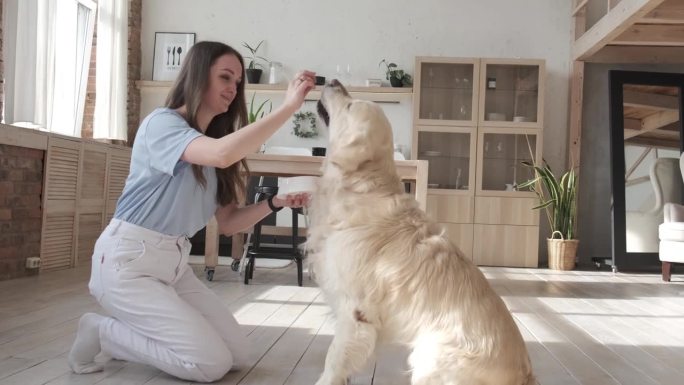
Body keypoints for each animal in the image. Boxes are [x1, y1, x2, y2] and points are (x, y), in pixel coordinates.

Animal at [308, 79, 536, 384]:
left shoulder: (355, 312)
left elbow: (333, 361)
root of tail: (525, 375)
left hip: (430, 358)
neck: (362, 188)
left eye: (350, 105)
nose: (332, 81)